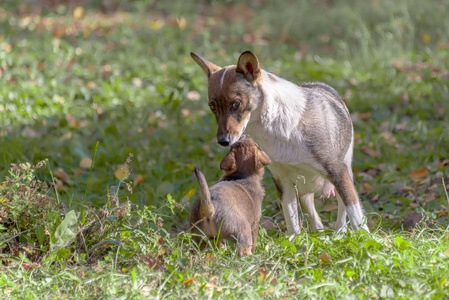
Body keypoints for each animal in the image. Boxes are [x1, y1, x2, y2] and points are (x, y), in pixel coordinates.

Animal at [191, 51, 370, 234]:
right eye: (212, 107)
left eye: (236, 104)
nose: (223, 141)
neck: (279, 128)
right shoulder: (283, 183)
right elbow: (293, 226)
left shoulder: (338, 173)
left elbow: (357, 220)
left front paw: (365, 238)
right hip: (303, 193)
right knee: (316, 222)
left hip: (345, 175)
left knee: (342, 214)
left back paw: (339, 233)